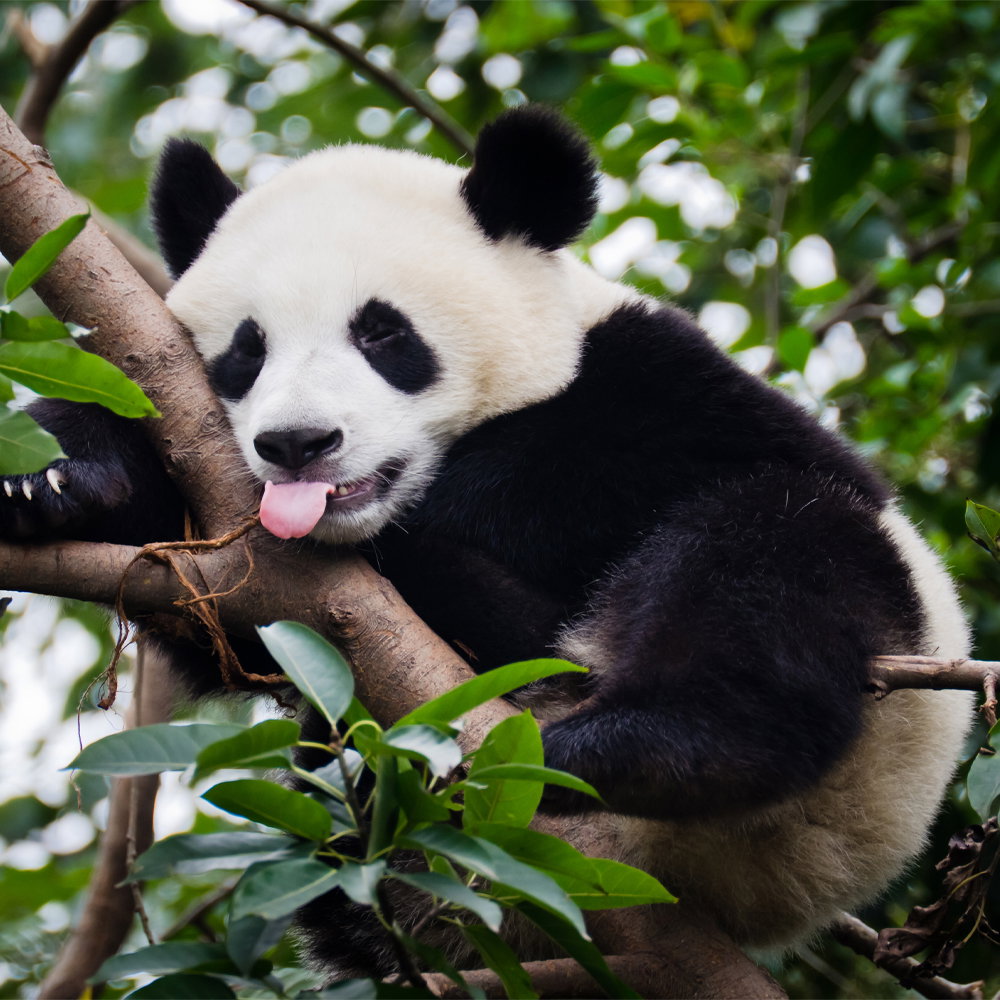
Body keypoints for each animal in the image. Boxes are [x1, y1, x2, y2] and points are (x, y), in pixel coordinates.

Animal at [0, 106, 973, 971]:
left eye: (382, 333)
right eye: (247, 349)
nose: (299, 444)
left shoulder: (656, 379)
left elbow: (620, 456)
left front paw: (456, 505)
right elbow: (220, 619)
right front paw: (46, 477)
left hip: (866, 753)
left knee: (775, 554)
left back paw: (646, 744)